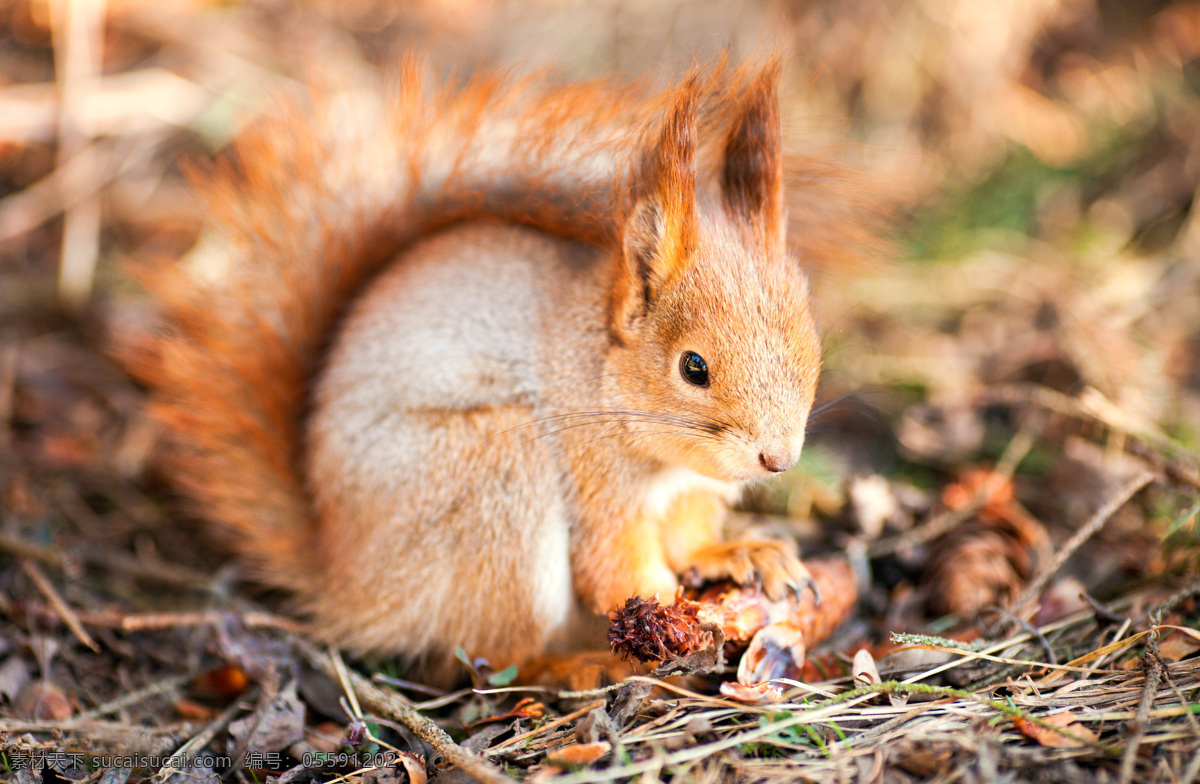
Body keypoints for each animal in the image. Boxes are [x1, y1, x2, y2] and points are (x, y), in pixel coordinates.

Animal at [126, 54, 883, 681]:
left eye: (811, 341)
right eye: (692, 367)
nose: (779, 460)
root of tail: (348, 583)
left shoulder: (691, 491)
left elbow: (692, 537)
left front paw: (742, 556)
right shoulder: (593, 475)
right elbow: (616, 567)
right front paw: (680, 615)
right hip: (497, 478)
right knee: (491, 654)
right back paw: (579, 666)